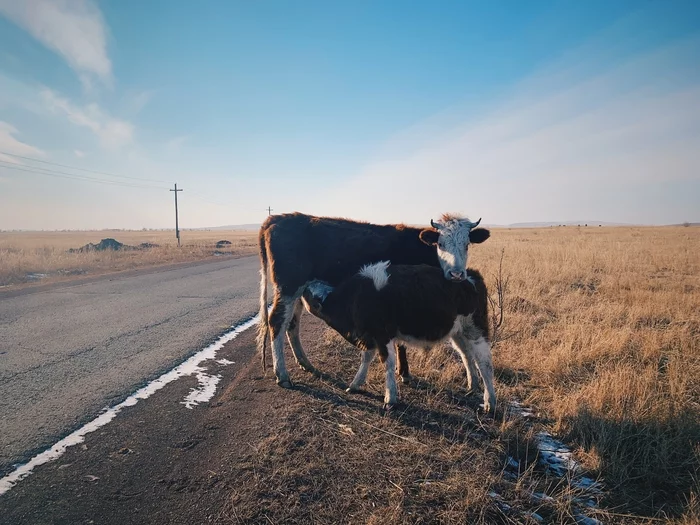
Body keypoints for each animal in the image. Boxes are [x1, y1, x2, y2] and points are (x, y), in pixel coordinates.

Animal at [254, 211, 490, 386]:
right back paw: (282, 374)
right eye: (440, 244)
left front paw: (402, 371)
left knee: (291, 325)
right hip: (288, 287)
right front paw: (404, 372)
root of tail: (275, 219)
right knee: (277, 322)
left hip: (296, 291)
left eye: (467, 244)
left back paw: (306, 364)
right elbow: (399, 342)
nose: (457, 274)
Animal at [304, 260, 494, 412]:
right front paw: (355, 384)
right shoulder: (370, 336)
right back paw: (472, 386)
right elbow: (366, 358)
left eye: (311, 296)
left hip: (476, 330)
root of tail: (472, 275)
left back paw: (489, 402)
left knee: (484, 363)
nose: (304, 287)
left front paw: (390, 398)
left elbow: (387, 363)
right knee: (467, 356)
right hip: (459, 333)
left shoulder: (382, 334)